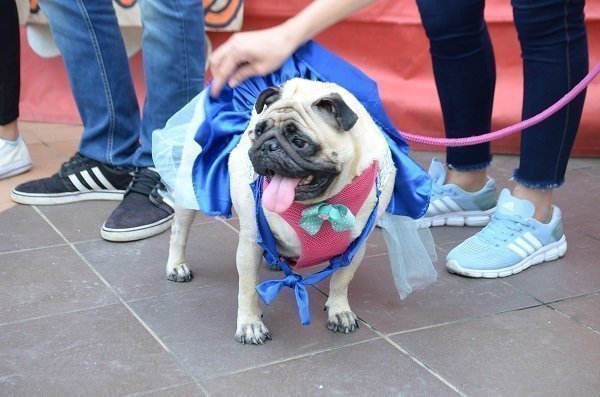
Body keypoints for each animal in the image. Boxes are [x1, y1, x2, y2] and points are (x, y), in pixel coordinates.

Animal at [166, 78, 396, 344]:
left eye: (300, 142)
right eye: (257, 132)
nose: (268, 145)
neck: (320, 206)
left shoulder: (354, 248)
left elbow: (341, 280)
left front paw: (339, 311)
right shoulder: (250, 242)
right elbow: (247, 289)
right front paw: (250, 324)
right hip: (188, 190)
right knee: (179, 232)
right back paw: (177, 266)